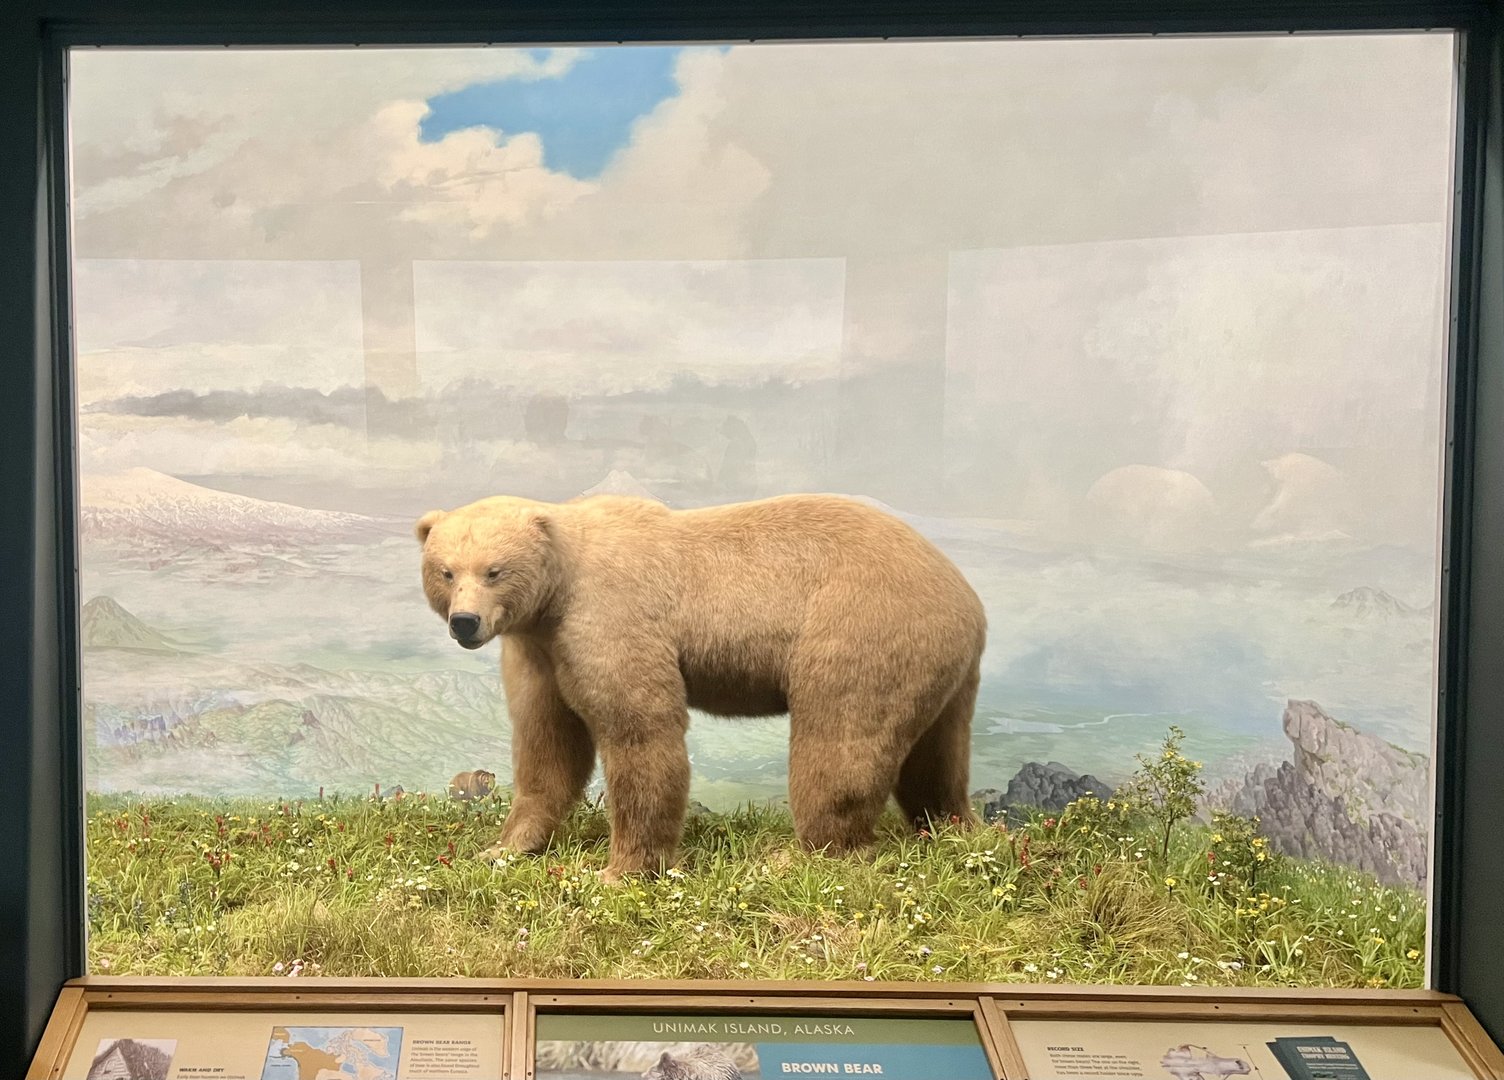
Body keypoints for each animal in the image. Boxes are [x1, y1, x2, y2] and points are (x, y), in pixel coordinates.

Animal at [415, 492, 986, 881]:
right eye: (446, 571)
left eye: (494, 570)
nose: (465, 623)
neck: (556, 594)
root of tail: (967, 597)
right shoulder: (540, 651)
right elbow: (547, 743)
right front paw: (504, 846)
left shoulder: (608, 617)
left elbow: (641, 730)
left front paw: (621, 868)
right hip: (939, 667)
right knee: (937, 756)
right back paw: (953, 826)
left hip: (861, 631)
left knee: (840, 746)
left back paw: (797, 856)